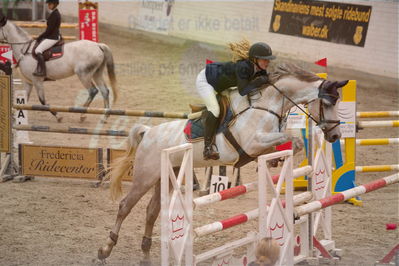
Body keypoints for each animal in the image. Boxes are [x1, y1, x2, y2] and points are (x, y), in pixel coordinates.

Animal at [97, 62, 350, 264]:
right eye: (328, 103)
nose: (335, 136)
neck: (267, 105)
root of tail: (148, 132)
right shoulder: (253, 142)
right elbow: (290, 140)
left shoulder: (261, 143)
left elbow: (290, 143)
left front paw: (274, 161)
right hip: (145, 175)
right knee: (125, 206)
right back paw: (105, 249)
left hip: (168, 175)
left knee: (151, 211)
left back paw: (146, 255)